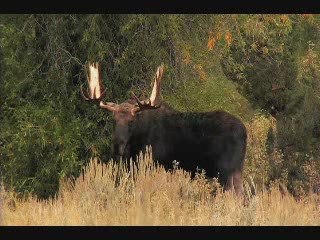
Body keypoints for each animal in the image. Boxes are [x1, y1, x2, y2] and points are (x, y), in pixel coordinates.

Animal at [80, 61, 248, 195]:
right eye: (113, 120)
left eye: (131, 121)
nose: (117, 146)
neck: (135, 144)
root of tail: (245, 132)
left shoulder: (154, 164)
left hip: (227, 169)